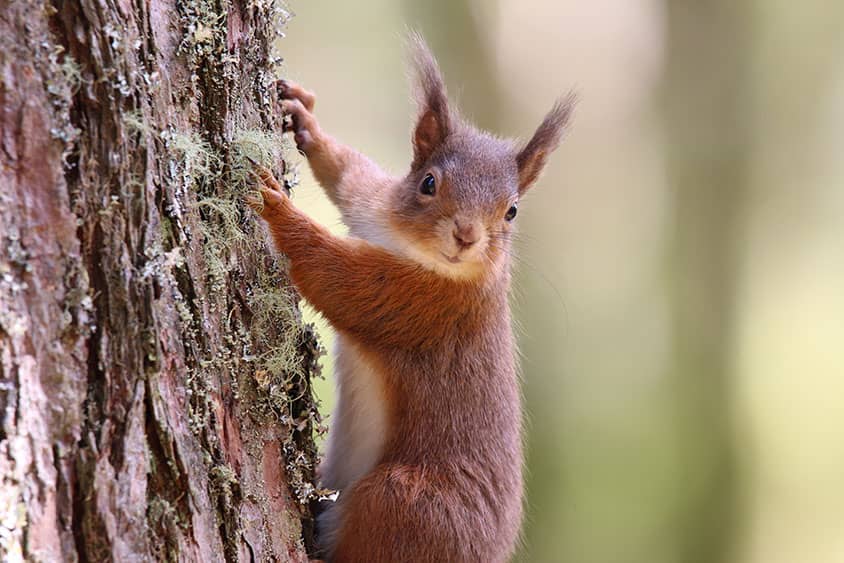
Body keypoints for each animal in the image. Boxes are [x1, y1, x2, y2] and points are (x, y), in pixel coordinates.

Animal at [251, 35, 572, 563]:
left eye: (511, 211)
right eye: (428, 183)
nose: (466, 236)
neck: (410, 248)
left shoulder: (423, 305)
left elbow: (337, 279)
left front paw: (275, 207)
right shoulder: (372, 206)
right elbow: (350, 175)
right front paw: (305, 121)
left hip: (405, 504)